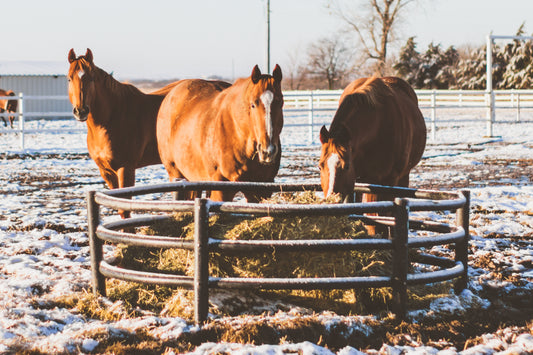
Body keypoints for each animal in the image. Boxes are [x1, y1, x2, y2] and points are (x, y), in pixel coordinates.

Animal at [67, 48, 177, 218]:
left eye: (91, 79)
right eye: (69, 79)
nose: (81, 111)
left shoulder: (126, 169)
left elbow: (125, 208)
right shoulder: (106, 171)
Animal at [157, 65, 284, 202]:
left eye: (281, 103)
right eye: (253, 104)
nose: (268, 151)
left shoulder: (260, 191)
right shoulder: (221, 190)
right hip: (176, 174)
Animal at [318, 76, 426, 235]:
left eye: (346, 166)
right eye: (320, 166)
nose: (331, 200)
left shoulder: (387, 180)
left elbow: (383, 216)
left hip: (401, 176)